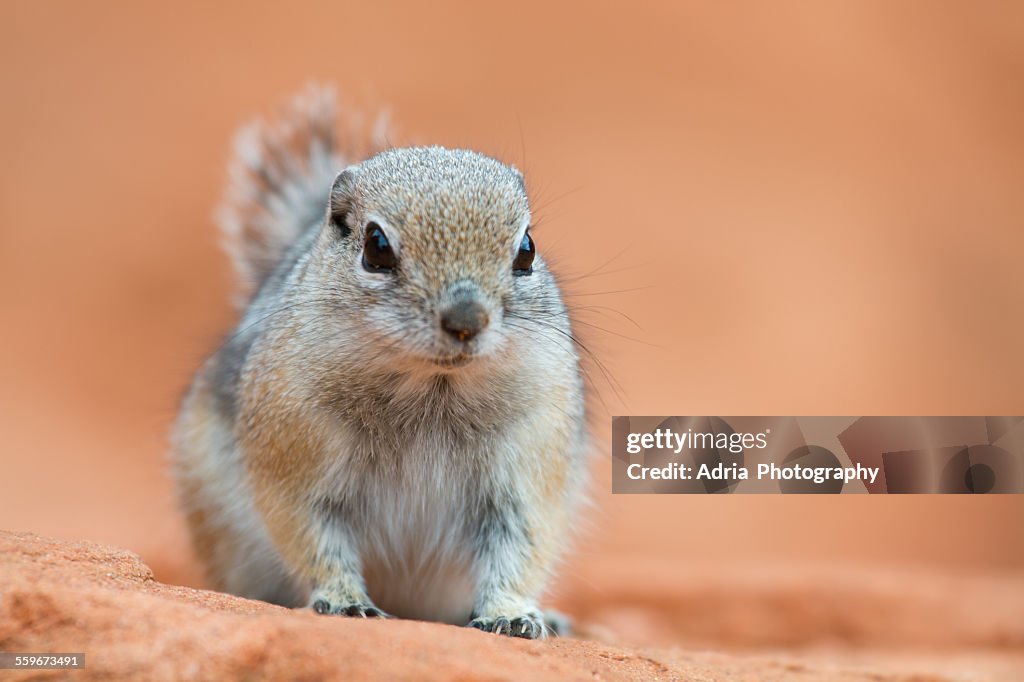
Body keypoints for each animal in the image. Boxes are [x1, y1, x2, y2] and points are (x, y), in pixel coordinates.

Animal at [171, 88, 589, 639]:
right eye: (376, 246)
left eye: (526, 249)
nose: (466, 319)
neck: (433, 387)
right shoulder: (294, 464)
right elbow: (312, 539)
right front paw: (345, 600)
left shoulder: (528, 474)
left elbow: (521, 550)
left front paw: (510, 612)